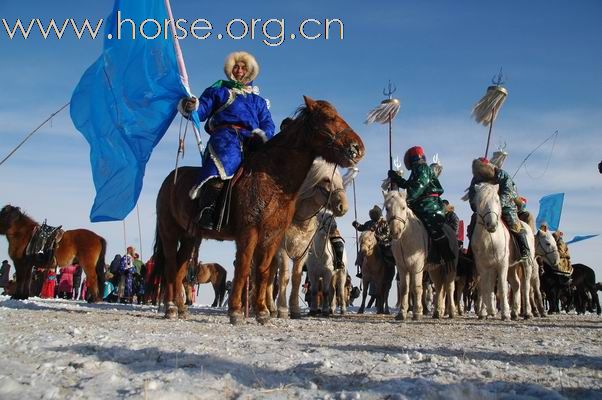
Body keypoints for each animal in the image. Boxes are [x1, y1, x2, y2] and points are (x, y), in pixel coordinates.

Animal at [264, 159, 344, 318]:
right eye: (326, 180)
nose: (343, 206)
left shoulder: (302, 254)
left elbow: (297, 278)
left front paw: (294, 310)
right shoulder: (283, 251)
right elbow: (285, 278)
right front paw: (283, 310)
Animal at [384, 189, 454, 320]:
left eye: (403, 207)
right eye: (387, 208)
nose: (396, 232)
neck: (406, 238)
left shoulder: (417, 267)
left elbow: (417, 288)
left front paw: (417, 313)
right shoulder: (402, 268)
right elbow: (404, 288)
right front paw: (402, 313)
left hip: (450, 267)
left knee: (450, 287)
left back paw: (452, 312)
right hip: (434, 270)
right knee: (439, 286)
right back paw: (437, 312)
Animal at [468, 183, 536, 320]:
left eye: (497, 200)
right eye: (479, 201)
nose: (491, 224)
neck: (489, 239)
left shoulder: (501, 264)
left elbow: (502, 288)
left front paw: (505, 314)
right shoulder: (483, 266)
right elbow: (485, 287)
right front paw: (485, 312)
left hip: (526, 264)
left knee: (525, 286)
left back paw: (527, 313)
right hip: (512, 267)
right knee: (516, 284)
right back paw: (515, 312)